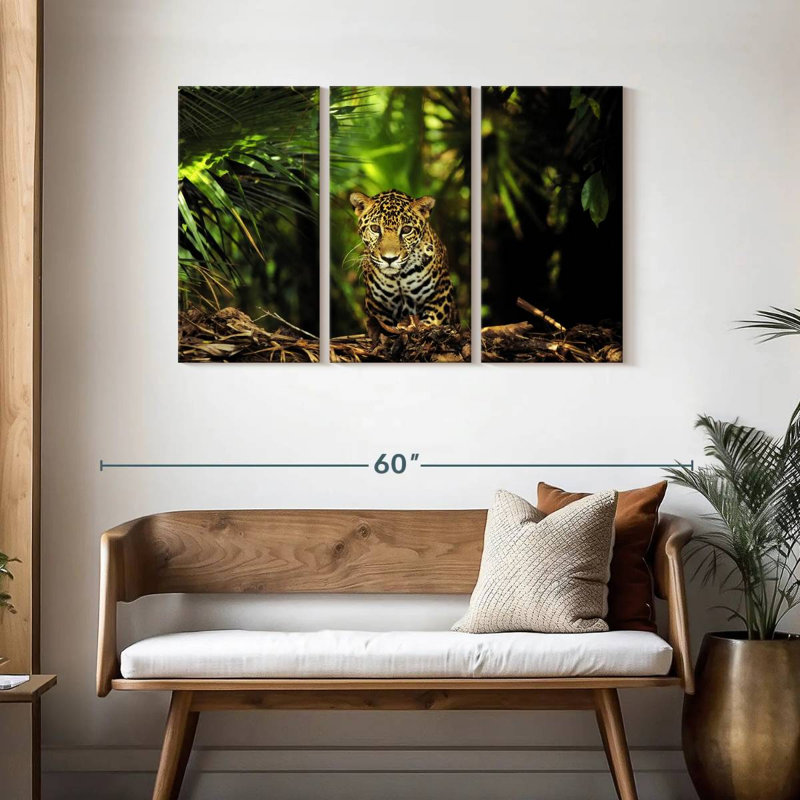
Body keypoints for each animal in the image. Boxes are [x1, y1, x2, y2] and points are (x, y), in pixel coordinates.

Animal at [349, 189, 458, 329]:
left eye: (406, 229)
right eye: (375, 228)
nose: (389, 259)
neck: (399, 277)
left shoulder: (441, 294)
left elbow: (431, 321)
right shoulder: (376, 305)